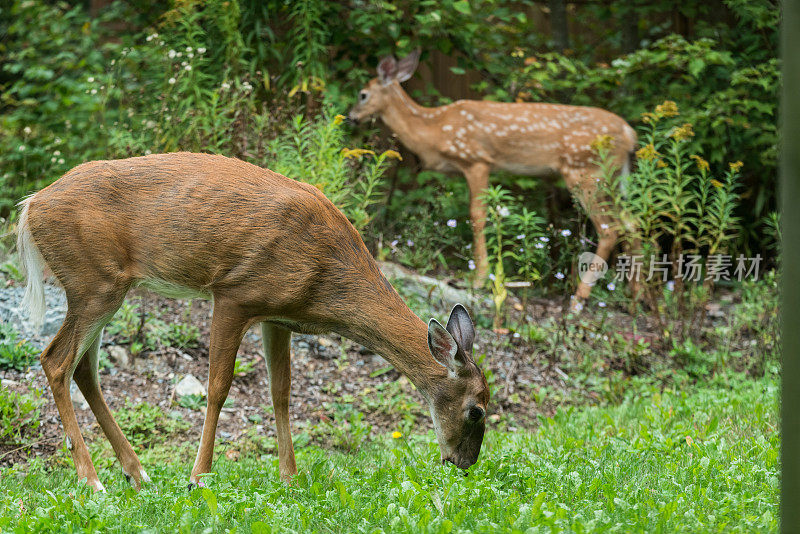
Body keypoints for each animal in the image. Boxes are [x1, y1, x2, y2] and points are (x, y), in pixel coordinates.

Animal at [18, 152, 490, 494]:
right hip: (93, 281)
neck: (326, 280)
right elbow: (218, 388)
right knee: (55, 360)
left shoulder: (278, 315)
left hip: (103, 286)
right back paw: (91, 479)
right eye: (477, 411)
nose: (464, 465)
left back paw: (136, 473)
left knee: (83, 368)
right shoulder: (234, 293)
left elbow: (281, 393)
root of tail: (30, 205)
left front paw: (290, 477)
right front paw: (198, 477)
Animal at [346, 50, 636, 310]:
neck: (434, 128)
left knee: (610, 228)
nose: (351, 117)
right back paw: (635, 299)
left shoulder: (477, 160)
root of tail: (629, 133)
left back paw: (579, 299)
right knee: (632, 222)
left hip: (585, 171)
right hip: (611, 177)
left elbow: (477, 215)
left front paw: (479, 278)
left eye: (363, 94)